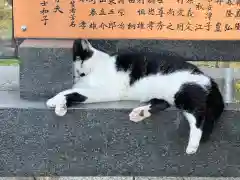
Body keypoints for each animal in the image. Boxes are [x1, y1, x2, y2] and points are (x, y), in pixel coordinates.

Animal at [46, 39, 224, 155]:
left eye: (75, 52)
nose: (78, 40)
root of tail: (208, 78)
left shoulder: (104, 91)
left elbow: (72, 92)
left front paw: (55, 101)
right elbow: (73, 92)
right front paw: (60, 105)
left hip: (185, 94)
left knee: (198, 117)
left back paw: (193, 144)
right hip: (168, 95)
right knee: (161, 103)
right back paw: (140, 113)